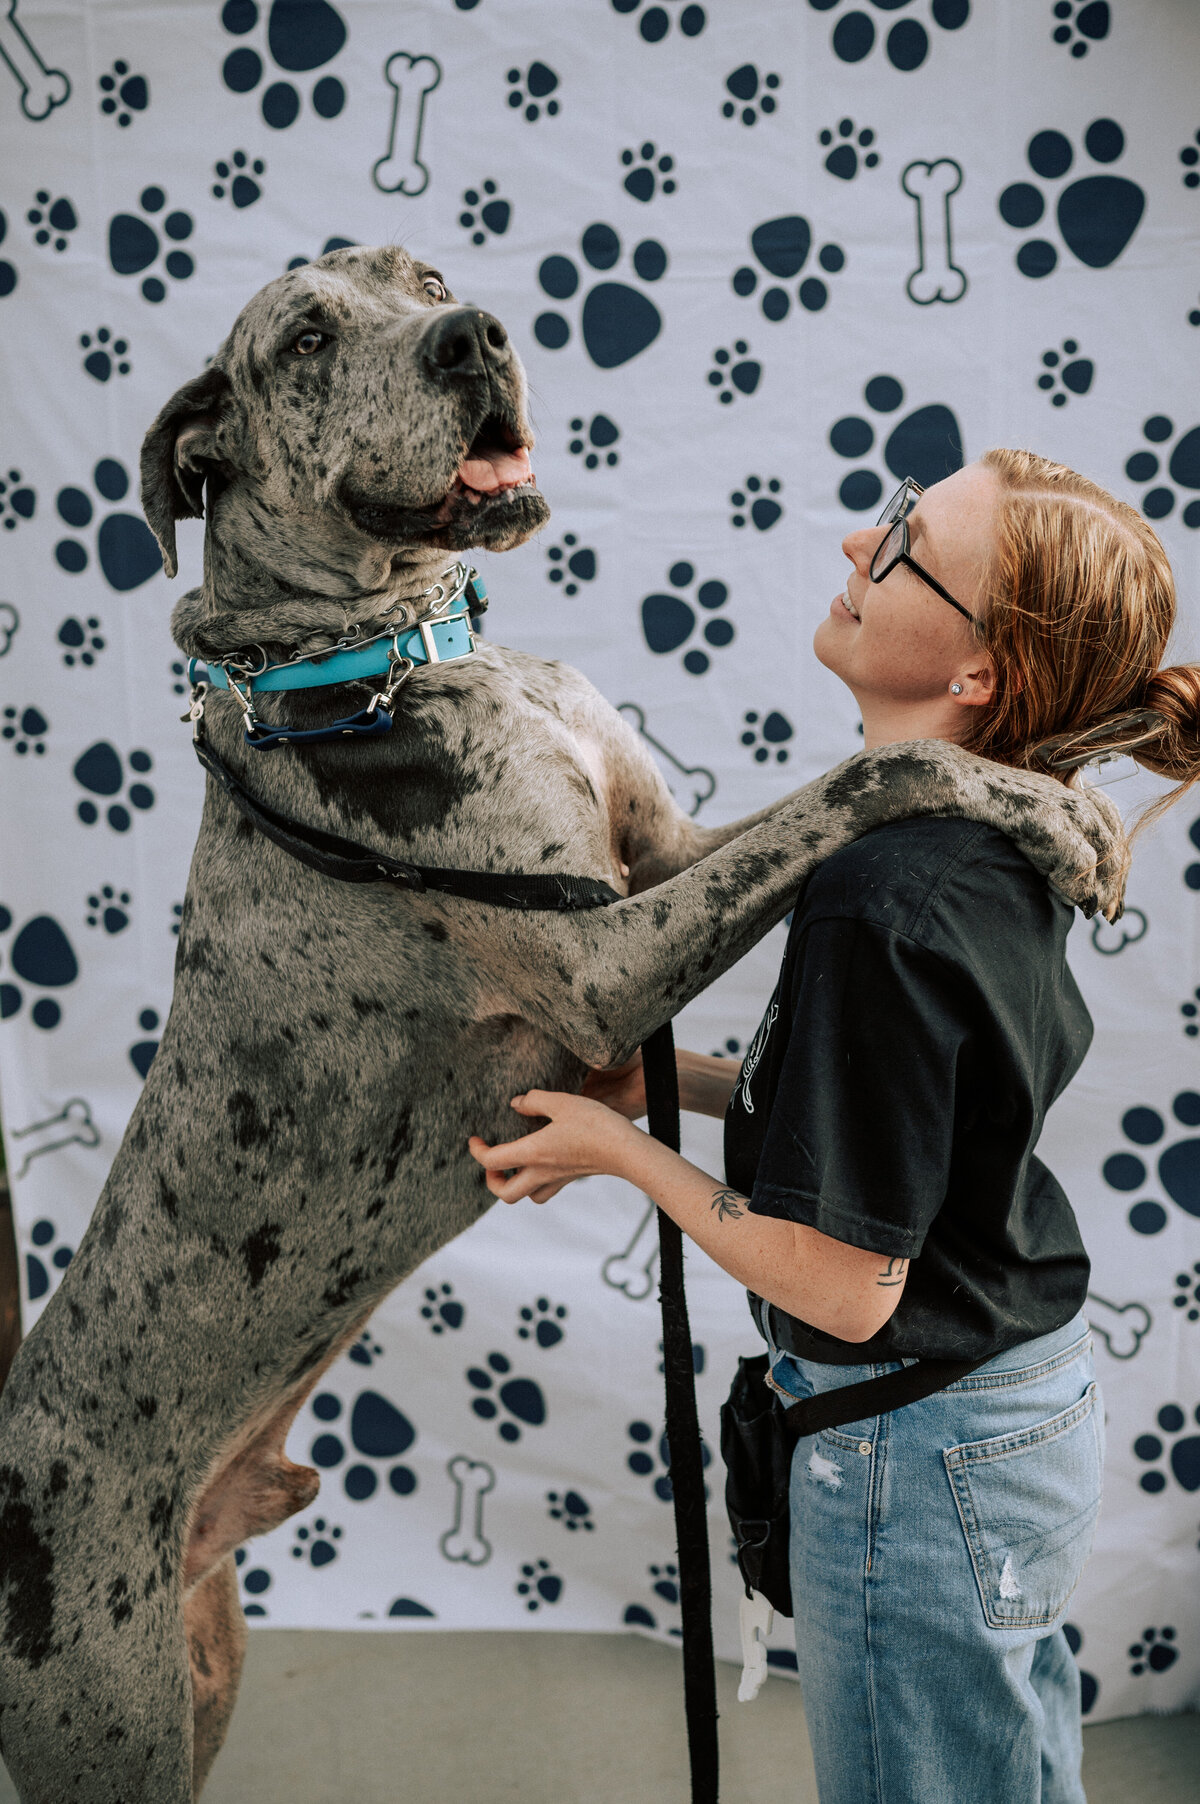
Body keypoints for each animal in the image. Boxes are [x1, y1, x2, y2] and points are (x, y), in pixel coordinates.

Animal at [0, 247, 1126, 1796]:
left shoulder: (657, 861)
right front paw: (1043, 807)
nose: (473, 335)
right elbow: (875, 771)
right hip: (106, 1718)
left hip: (199, 1666)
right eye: (306, 338)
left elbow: (809, 824)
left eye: (418, 273)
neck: (396, 656)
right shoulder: (605, 959)